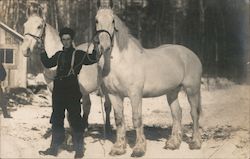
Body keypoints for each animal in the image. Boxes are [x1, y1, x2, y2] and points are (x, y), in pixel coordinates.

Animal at [95, 4, 203, 157]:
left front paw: (139, 149)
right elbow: (119, 119)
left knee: (194, 113)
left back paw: (195, 143)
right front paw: (119, 148)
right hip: (172, 92)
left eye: (113, 21)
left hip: (192, 90)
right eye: (96, 20)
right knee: (177, 113)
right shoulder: (114, 95)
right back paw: (173, 143)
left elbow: (136, 118)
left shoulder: (135, 94)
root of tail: (191, 54)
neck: (121, 62)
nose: (104, 46)